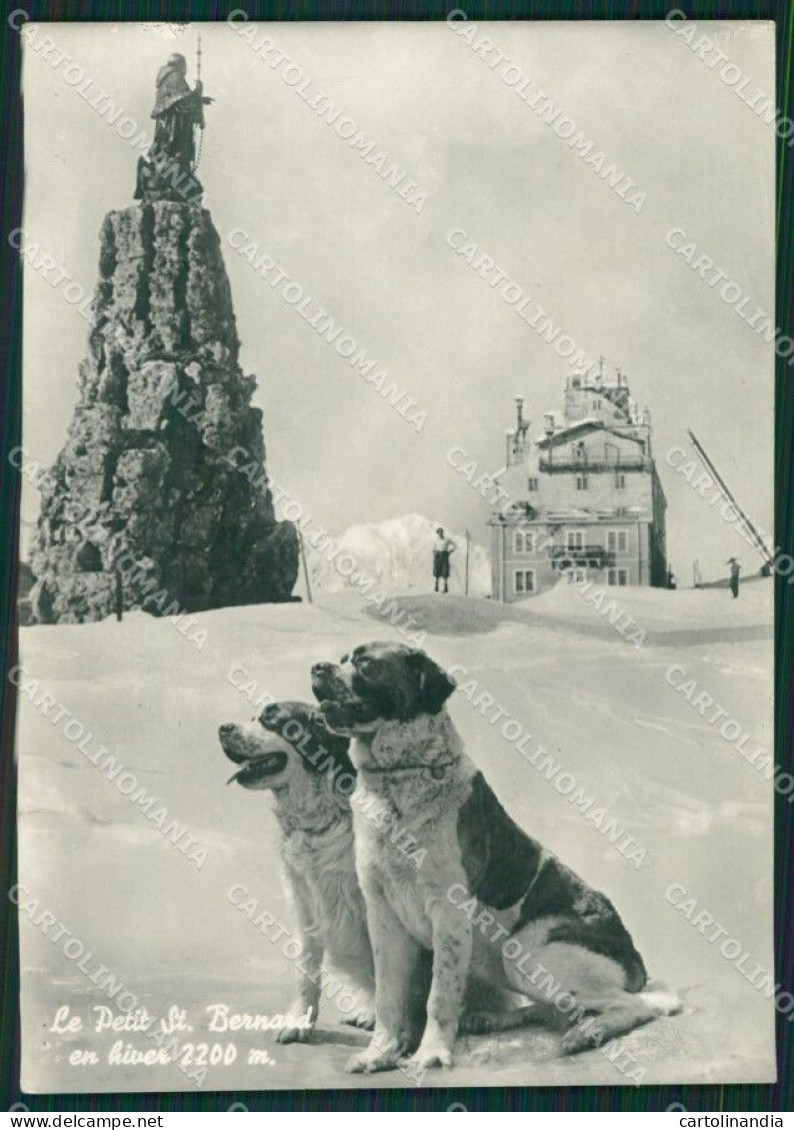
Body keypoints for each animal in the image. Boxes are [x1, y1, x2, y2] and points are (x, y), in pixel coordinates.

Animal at [311, 646, 682, 1075]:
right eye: (343, 658)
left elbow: (439, 994)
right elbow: (387, 993)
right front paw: (380, 1052)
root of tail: (636, 961)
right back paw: (496, 1019)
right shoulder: (384, 916)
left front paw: (430, 1053)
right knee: (557, 1006)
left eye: (365, 662)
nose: (317, 667)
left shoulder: (448, 917)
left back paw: (586, 1033)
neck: (398, 779)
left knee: (635, 1005)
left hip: (527, 953)